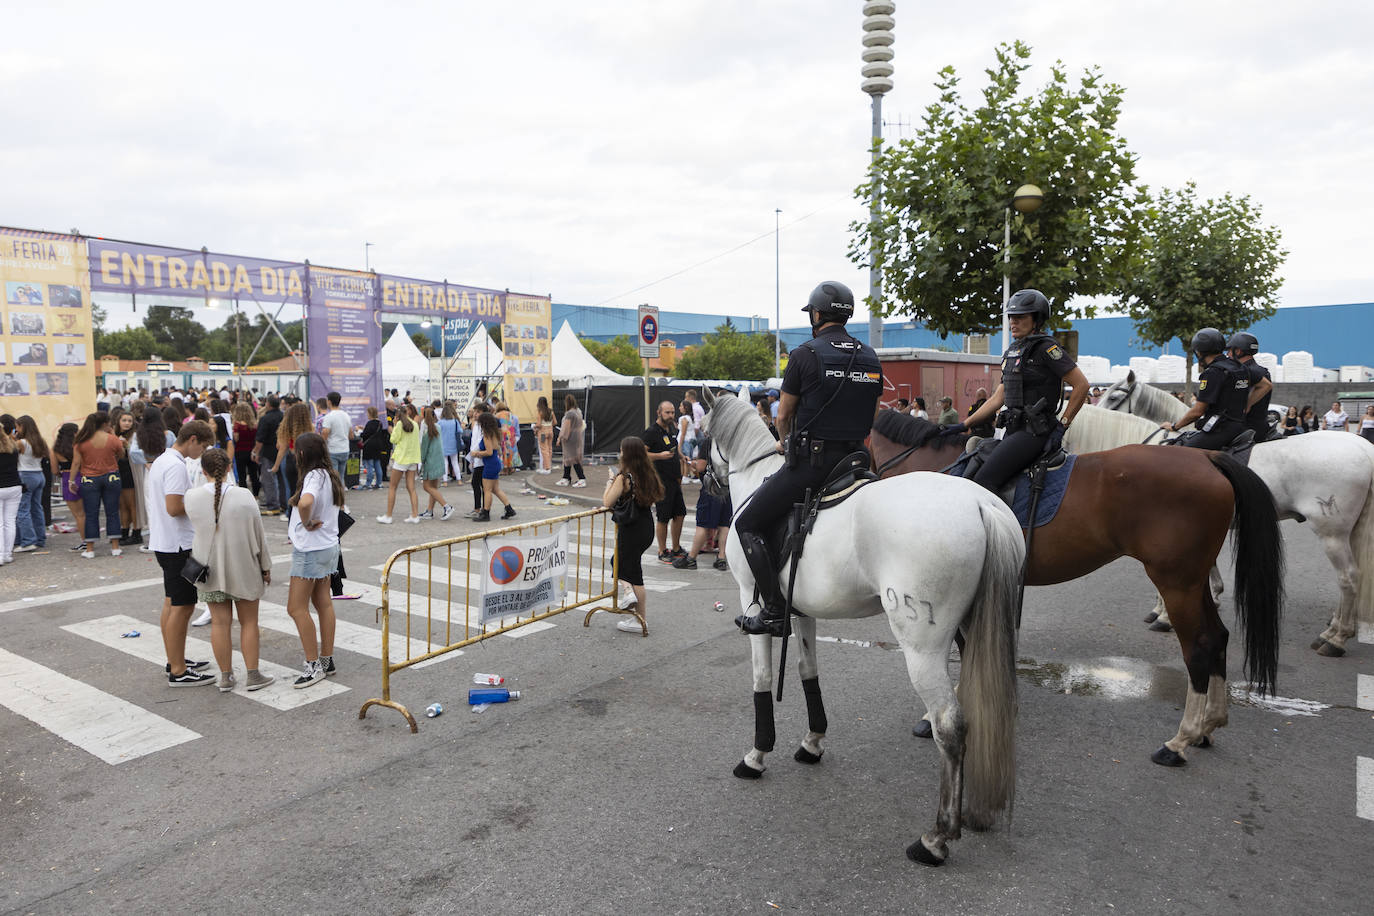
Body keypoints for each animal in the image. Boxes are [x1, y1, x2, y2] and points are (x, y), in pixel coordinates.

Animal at [703, 387, 1027, 867]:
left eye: (704, 435)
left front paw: (758, 754)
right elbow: (808, 672)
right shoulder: (801, 610)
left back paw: (936, 838)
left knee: (949, 725)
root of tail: (981, 504)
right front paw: (812, 742)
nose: (704, 480)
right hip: (975, 632)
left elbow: (761, 678)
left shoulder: (751, 597)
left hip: (923, 647)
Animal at [868, 411, 1286, 769]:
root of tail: (1208, 459)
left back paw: (1179, 741)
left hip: (1176, 582)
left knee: (1199, 645)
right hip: (1193, 581)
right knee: (1218, 637)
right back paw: (1208, 726)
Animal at [1082, 376, 1374, 656]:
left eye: (1115, 396)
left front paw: (1164, 615)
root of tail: (1364, 448)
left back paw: (1335, 639)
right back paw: (1336, 627)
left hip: (1331, 533)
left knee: (1348, 578)